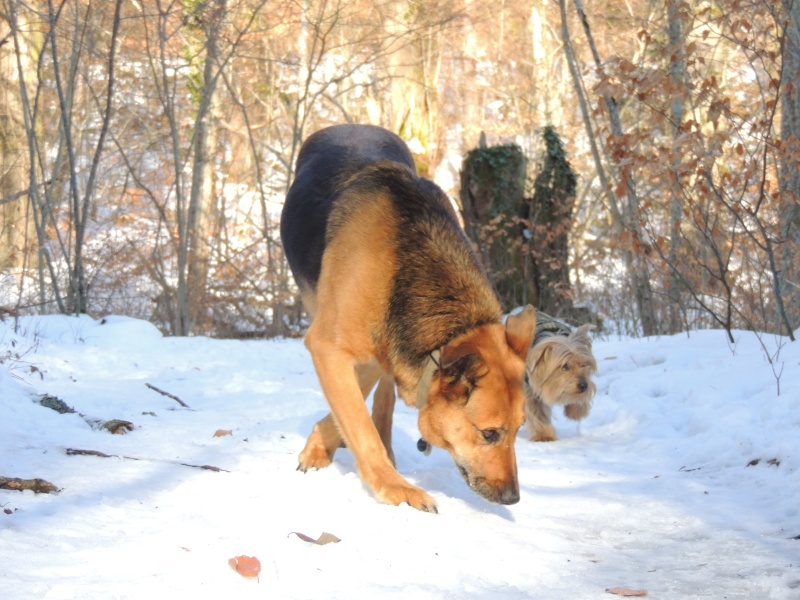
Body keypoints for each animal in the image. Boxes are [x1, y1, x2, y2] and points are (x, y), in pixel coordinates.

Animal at [278, 124, 536, 512]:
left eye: (520, 429)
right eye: (489, 433)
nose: (513, 498)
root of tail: (350, 126)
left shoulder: (383, 349)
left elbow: (360, 408)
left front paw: (321, 445)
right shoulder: (328, 346)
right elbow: (359, 424)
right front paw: (394, 487)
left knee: (382, 403)